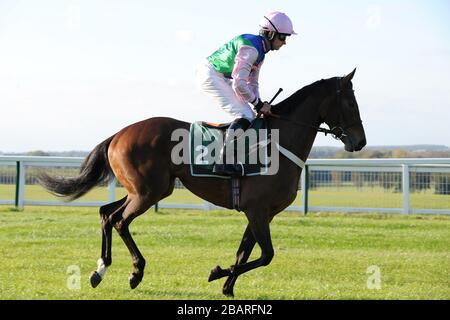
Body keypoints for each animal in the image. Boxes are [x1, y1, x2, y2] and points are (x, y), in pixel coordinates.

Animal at [37, 69, 366, 296]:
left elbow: (246, 252)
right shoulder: (257, 211)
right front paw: (217, 272)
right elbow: (266, 255)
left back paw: (100, 270)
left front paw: (227, 287)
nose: (360, 141)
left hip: (146, 190)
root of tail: (118, 134)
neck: (278, 141)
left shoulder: (261, 213)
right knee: (119, 221)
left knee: (106, 213)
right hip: (148, 193)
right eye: (351, 103)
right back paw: (135, 272)